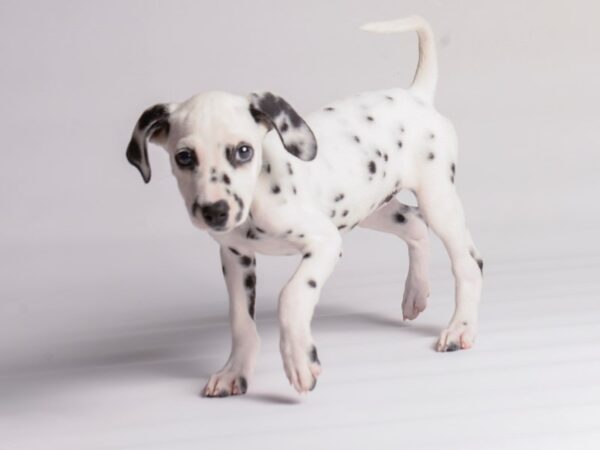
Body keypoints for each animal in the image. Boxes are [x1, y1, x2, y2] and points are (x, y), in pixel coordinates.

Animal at [126, 16, 482, 398]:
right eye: (184, 157)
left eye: (244, 151)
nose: (215, 211)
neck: (259, 192)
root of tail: (415, 94)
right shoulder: (236, 258)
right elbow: (240, 321)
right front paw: (234, 371)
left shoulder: (325, 242)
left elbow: (291, 296)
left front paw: (299, 360)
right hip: (371, 208)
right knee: (415, 225)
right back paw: (416, 293)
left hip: (437, 200)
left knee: (468, 263)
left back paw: (460, 328)